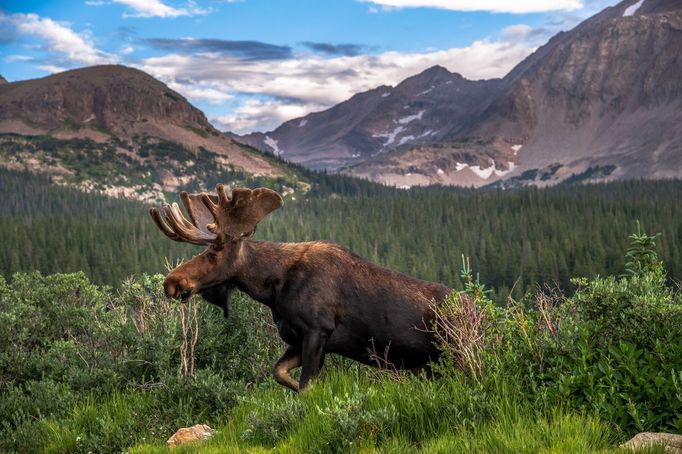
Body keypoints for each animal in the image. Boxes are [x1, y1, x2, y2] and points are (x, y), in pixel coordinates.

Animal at [149, 184, 448, 390]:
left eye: (214, 252)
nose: (171, 282)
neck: (272, 289)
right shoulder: (296, 338)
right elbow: (279, 373)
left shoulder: (317, 331)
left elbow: (306, 386)